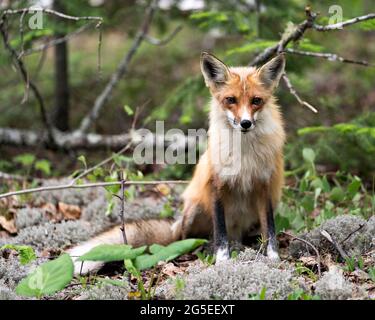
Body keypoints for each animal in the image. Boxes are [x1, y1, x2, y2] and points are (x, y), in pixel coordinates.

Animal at [67, 53, 286, 276]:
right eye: (231, 100)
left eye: (256, 101)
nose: (245, 123)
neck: (244, 152)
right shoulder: (217, 184)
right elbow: (220, 233)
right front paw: (223, 261)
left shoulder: (264, 185)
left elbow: (270, 229)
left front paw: (273, 258)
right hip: (193, 212)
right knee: (189, 240)